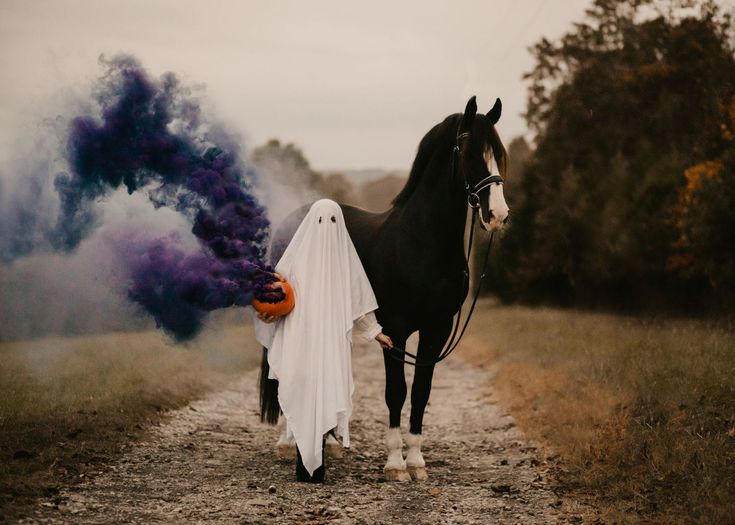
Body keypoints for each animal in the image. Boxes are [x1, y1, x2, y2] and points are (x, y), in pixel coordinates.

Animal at [258, 96, 506, 482]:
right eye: (468, 151)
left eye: (498, 152)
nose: (498, 214)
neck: (421, 241)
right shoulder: (396, 328)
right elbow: (396, 392)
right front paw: (395, 463)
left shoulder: (437, 328)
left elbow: (421, 392)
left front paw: (416, 461)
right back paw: (289, 442)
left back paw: (328, 442)